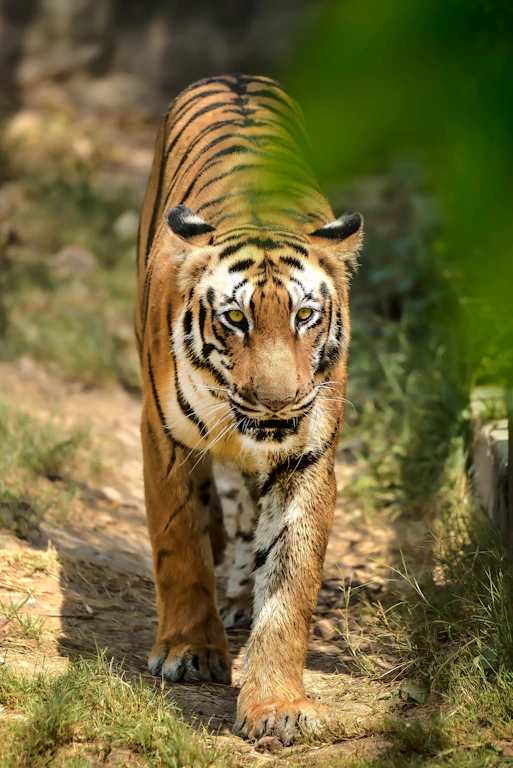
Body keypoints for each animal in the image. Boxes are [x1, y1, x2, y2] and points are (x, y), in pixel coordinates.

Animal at [135, 74, 363, 746]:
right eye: (235, 318)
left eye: (305, 316)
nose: (279, 400)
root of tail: (232, 76)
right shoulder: (165, 440)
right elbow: (179, 544)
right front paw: (189, 652)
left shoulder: (307, 455)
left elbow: (288, 581)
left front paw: (276, 705)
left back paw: (239, 599)